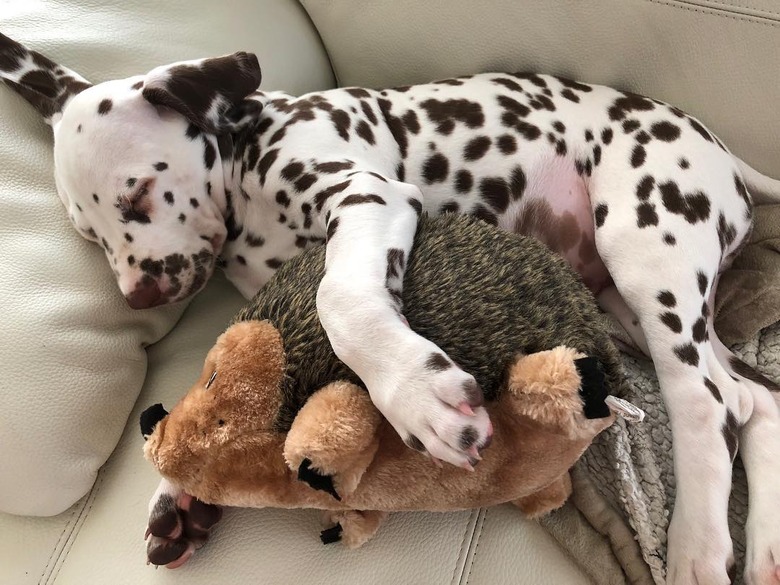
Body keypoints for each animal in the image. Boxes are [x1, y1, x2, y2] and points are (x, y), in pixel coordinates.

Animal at [4, 33, 780, 584]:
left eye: (138, 195)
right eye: (87, 232)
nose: (140, 295)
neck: (250, 155)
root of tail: (718, 150)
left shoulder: (366, 196)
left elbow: (339, 298)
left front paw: (415, 394)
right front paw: (178, 496)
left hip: (646, 246)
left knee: (705, 401)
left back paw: (698, 548)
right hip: (623, 302)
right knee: (752, 396)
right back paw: (762, 549)